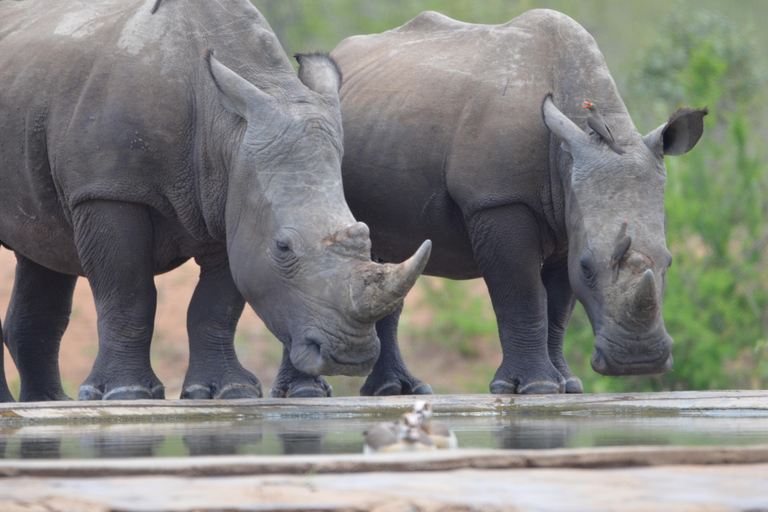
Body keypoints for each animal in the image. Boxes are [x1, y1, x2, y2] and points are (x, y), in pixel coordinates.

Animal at [0, 0, 432, 402]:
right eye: (283, 248)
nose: (350, 355)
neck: (225, 131)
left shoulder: (234, 201)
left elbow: (216, 305)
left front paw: (227, 391)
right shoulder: (107, 189)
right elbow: (128, 294)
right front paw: (125, 393)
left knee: (43, 253)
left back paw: (48, 402)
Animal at [328, 9, 704, 396]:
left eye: (669, 262)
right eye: (587, 267)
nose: (638, 361)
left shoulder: (569, 216)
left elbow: (558, 305)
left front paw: (568, 385)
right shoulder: (497, 200)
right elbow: (522, 293)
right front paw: (534, 386)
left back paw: (402, 390)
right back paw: (390, 390)